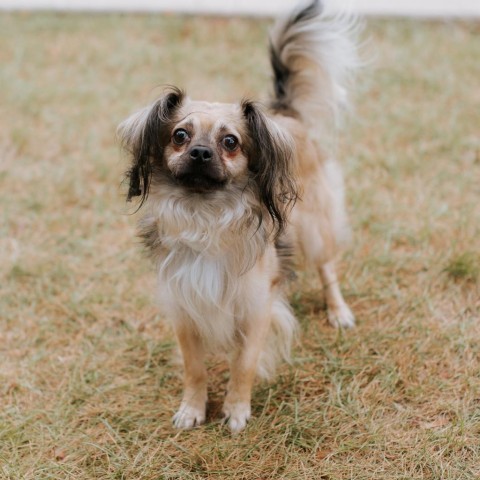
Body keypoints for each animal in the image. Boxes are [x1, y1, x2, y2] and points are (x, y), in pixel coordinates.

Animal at [119, 0, 358, 434]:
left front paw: (236, 409)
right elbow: (194, 368)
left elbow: (243, 363)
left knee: (327, 266)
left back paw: (338, 311)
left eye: (230, 142)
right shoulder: (184, 308)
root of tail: (284, 113)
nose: (200, 153)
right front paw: (193, 408)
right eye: (180, 136)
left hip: (317, 227)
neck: (206, 216)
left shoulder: (255, 308)